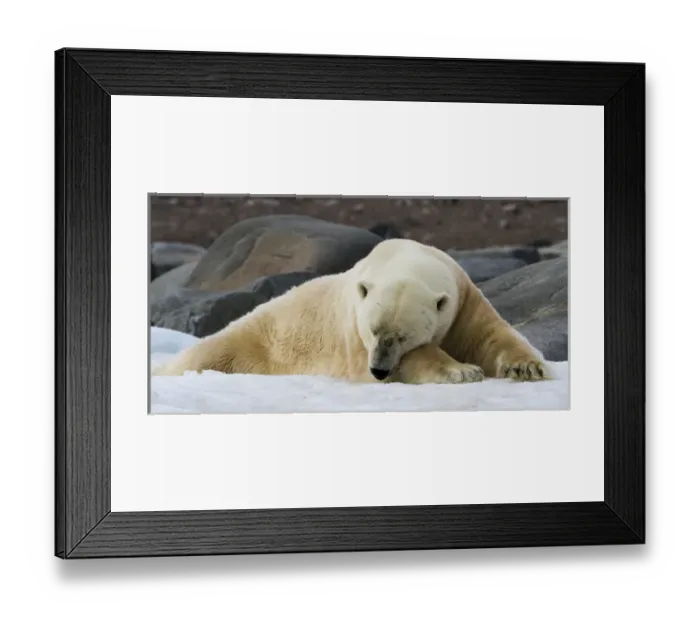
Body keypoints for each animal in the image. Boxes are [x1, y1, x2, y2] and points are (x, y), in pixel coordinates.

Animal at [152, 239, 550, 384]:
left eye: (403, 335)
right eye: (374, 330)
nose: (379, 370)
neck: (403, 256)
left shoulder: (463, 296)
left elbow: (489, 334)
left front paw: (526, 367)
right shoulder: (352, 333)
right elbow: (414, 361)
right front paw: (462, 370)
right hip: (241, 344)